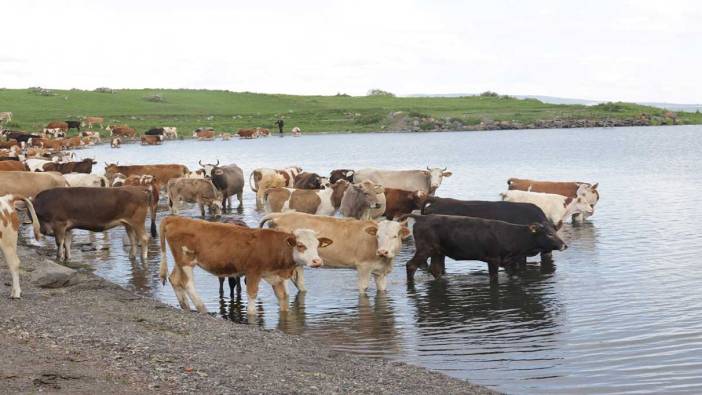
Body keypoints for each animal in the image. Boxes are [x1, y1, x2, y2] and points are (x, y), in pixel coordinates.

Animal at [160, 217, 336, 316]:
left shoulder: (276, 277)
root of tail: (175, 218)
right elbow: (252, 298)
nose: (317, 261)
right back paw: (202, 308)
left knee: (174, 279)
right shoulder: (253, 272)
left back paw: (185, 306)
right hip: (186, 260)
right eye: (300, 245)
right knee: (187, 283)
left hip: (179, 261)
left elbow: (283, 299)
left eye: (317, 245)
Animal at [262, 213, 410, 294]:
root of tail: (280, 216)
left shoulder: (380, 273)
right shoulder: (363, 267)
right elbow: (363, 288)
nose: (382, 251)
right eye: (378, 236)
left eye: (395, 236)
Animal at [404, 213, 568, 282]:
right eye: (549, 234)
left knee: (435, 269)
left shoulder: (508, 262)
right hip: (425, 248)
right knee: (411, 265)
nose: (564, 245)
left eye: (555, 231)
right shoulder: (493, 258)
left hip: (438, 251)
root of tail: (422, 217)